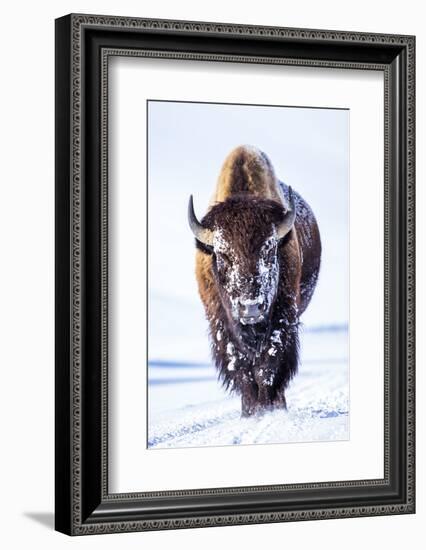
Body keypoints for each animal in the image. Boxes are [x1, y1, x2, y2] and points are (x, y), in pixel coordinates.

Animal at [188, 147, 322, 418]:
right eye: (222, 254)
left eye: (269, 251)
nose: (250, 308)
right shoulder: (221, 324)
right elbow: (241, 367)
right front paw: (251, 411)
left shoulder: (283, 318)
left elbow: (269, 364)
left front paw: (269, 408)